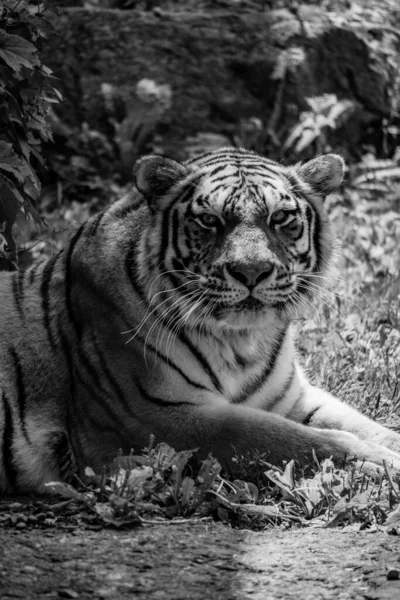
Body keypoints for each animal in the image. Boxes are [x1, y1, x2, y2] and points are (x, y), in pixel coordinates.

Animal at [0, 145, 400, 492]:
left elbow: (361, 426)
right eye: (210, 220)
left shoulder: (288, 399)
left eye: (281, 217)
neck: (242, 342)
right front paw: (381, 464)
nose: (251, 271)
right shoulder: (157, 418)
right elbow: (292, 440)